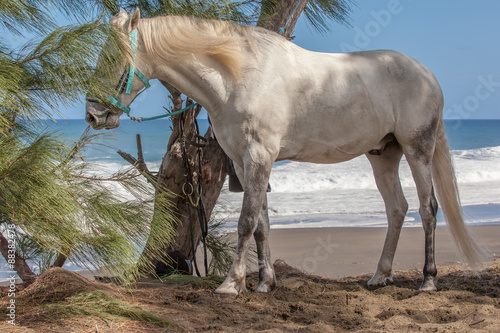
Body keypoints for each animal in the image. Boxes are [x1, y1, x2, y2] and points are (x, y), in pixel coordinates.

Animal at [85, 7, 484, 294]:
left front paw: (231, 284)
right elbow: (261, 224)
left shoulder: (259, 157)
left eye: (113, 58)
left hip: (417, 149)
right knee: (397, 209)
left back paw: (428, 280)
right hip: (383, 155)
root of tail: (427, 75)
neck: (239, 76)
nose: (92, 114)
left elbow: (246, 222)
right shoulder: (242, 163)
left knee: (428, 208)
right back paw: (380, 276)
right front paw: (264, 283)